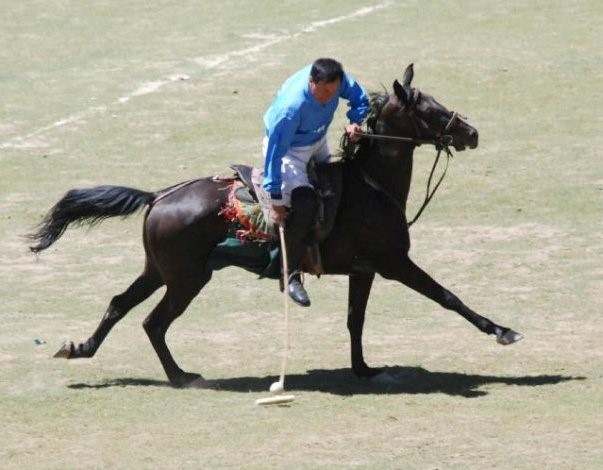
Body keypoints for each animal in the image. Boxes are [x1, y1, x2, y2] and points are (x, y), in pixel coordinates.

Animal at [28, 64, 520, 388]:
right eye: (431, 109)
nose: (471, 133)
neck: (371, 184)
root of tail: (160, 195)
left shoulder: (363, 270)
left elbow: (354, 321)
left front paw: (363, 369)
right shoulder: (394, 263)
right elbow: (448, 297)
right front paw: (502, 331)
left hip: (160, 272)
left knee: (120, 305)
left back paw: (83, 349)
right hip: (187, 279)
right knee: (153, 322)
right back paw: (181, 376)